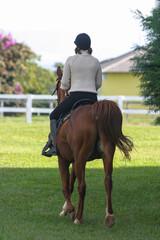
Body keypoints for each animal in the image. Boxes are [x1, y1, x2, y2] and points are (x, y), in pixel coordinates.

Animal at [52, 66, 133, 228]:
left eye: (57, 85)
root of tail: (95, 111)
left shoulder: (63, 159)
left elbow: (65, 185)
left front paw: (70, 210)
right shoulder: (75, 161)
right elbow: (70, 184)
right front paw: (66, 209)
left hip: (81, 157)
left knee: (82, 186)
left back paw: (78, 217)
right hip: (107, 154)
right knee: (108, 182)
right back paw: (109, 216)